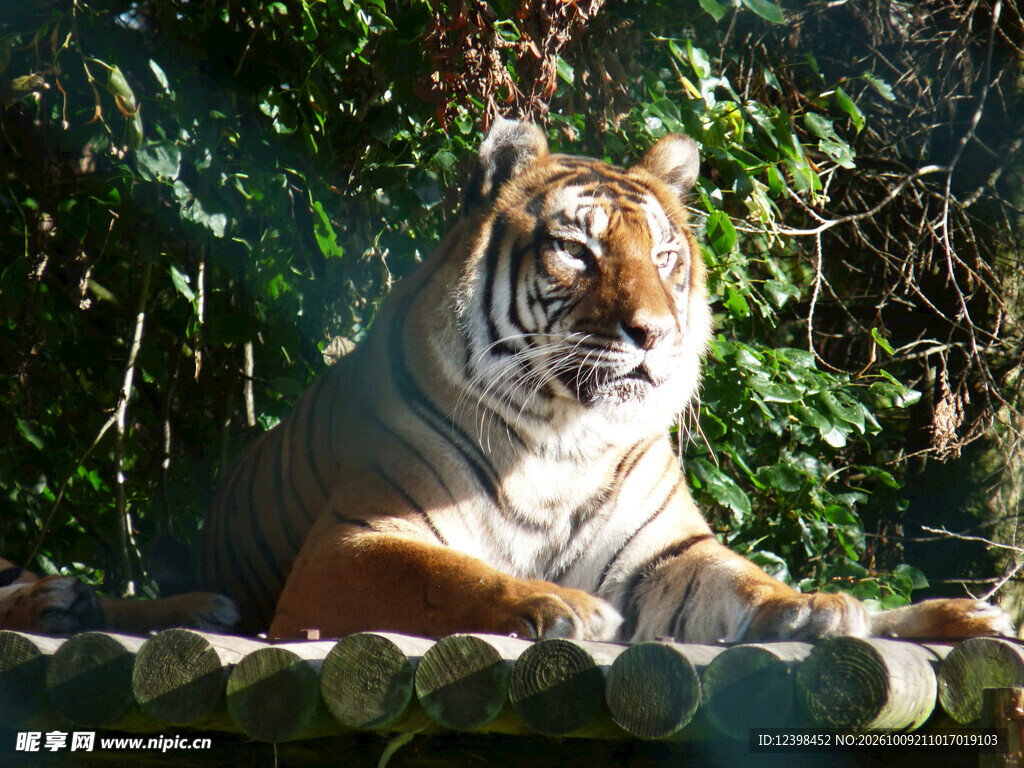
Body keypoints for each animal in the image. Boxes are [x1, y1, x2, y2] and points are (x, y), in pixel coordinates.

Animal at [199, 118, 1013, 644]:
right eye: (577, 252)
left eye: (663, 255)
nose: (651, 333)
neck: (561, 440)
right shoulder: (350, 543)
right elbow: (447, 576)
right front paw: (555, 602)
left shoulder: (667, 554)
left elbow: (746, 579)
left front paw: (808, 606)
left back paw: (962, 614)